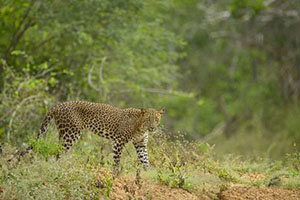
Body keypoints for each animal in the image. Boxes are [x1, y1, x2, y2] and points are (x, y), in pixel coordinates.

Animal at [36, 101, 165, 171]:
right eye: (148, 119)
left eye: (156, 119)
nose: (152, 128)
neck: (141, 128)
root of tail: (58, 105)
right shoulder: (119, 141)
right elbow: (117, 160)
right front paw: (115, 173)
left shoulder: (140, 144)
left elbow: (145, 160)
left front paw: (147, 173)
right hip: (71, 134)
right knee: (59, 152)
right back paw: (58, 167)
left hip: (64, 134)